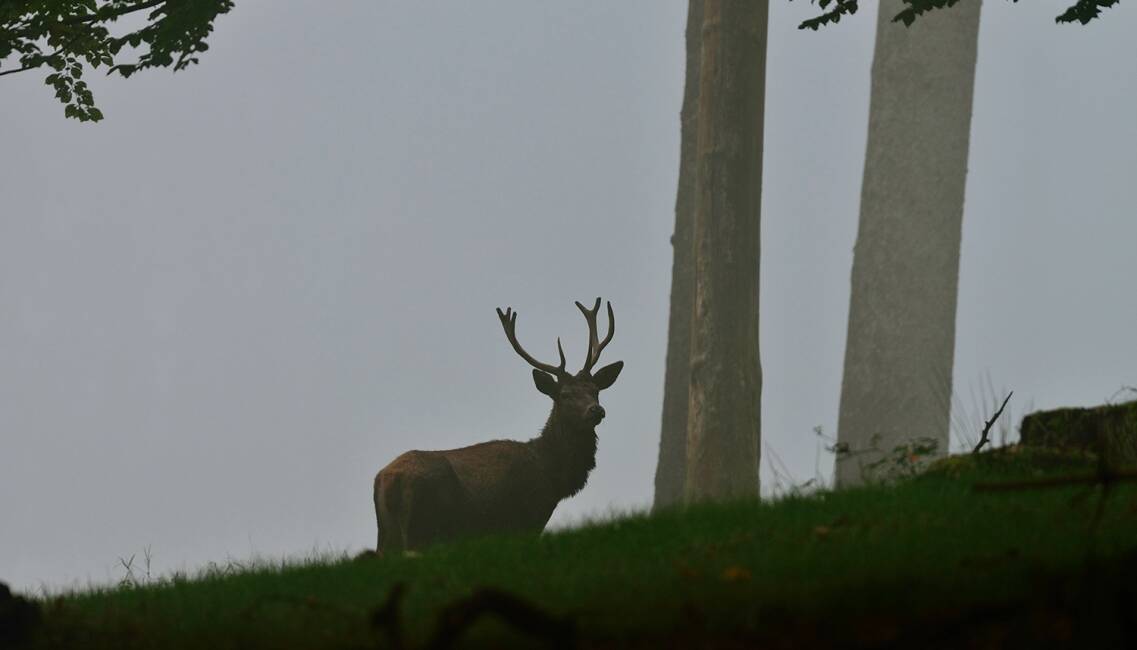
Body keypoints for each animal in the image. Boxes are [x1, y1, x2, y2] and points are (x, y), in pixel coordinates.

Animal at [372, 297, 623, 554]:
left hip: (388, 535)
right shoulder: (525, 518)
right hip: (420, 528)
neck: (550, 475)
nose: (596, 410)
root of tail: (384, 480)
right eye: (565, 394)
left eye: (595, 390)